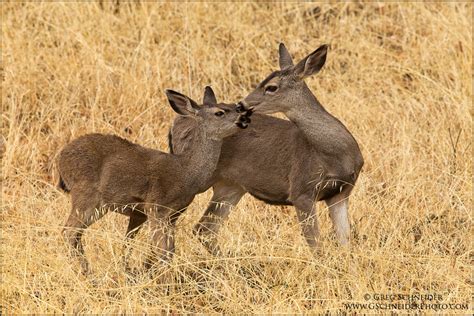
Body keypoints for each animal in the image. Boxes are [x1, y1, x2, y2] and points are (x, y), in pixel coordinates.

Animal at [57, 87, 252, 274]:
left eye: (233, 106)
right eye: (220, 112)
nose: (244, 117)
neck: (186, 172)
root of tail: (61, 159)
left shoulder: (173, 214)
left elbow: (169, 250)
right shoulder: (156, 207)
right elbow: (163, 251)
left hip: (98, 206)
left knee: (76, 234)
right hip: (85, 194)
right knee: (68, 232)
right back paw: (88, 273)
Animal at [170, 43, 362, 256]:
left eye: (271, 87)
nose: (241, 105)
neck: (335, 155)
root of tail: (180, 121)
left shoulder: (342, 192)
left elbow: (344, 241)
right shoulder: (301, 189)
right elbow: (316, 246)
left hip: (231, 186)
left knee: (205, 229)